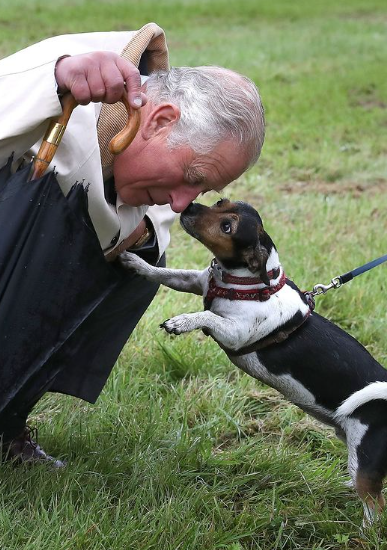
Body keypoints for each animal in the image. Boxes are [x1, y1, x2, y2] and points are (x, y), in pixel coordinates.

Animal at [121, 198, 387, 528]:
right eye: (221, 202)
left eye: (227, 227)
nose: (190, 206)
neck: (244, 283)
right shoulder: (194, 281)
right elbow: (165, 274)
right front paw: (136, 262)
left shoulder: (234, 333)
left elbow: (207, 315)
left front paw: (182, 322)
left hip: (364, 458)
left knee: (375, 505)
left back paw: (365, 532)